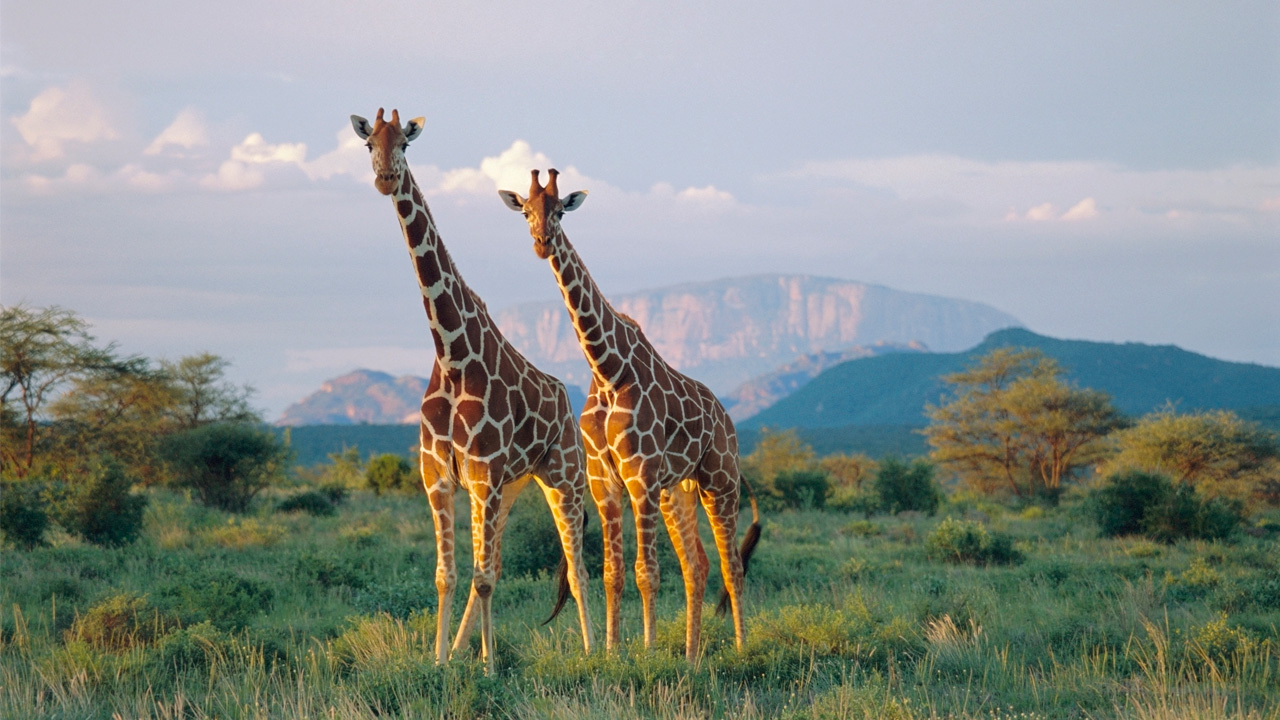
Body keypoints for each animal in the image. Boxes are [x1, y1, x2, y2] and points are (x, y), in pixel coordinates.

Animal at [499, 169, 757, 661]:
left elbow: (646, 572)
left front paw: (649, 649)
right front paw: (612, 650)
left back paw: (739, 647)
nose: (542, 242)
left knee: (732, 565)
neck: (607, 369)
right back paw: (692, 656)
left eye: (560, 211)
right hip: (678, 490)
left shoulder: (640, 476)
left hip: (719, 481)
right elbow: (613, 573)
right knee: (697, 563)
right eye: (526, 211)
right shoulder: (605, 481)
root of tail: (726, 418)